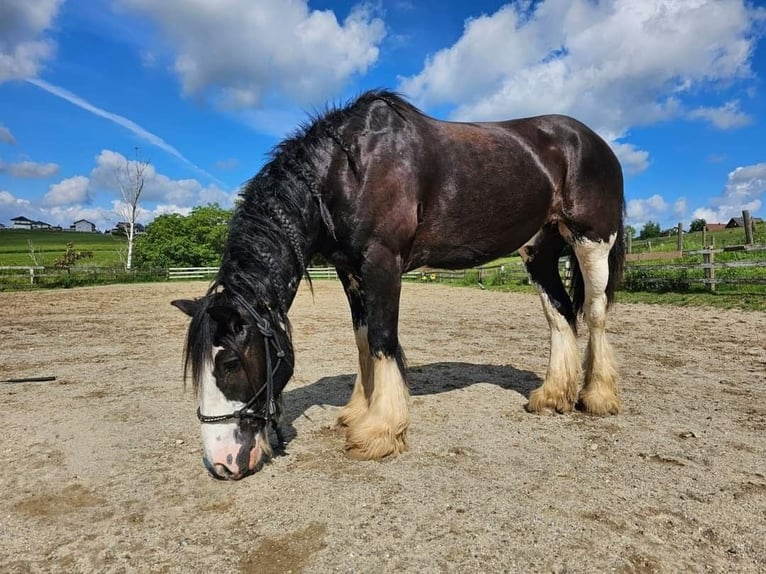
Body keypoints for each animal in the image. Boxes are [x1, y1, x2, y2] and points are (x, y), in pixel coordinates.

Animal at [171, 90, 628, 482]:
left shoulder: (382, 261)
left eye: (230, 363)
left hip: (590, 241)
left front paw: (380, 431)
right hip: (539, 252)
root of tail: (593, 141)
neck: (346, 170)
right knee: (560, 314)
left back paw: (598, 397)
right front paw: (358, 411)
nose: (221, 463)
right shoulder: (349, 270)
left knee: (595, 313)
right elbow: (362, 339)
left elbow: (382, 339)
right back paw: (552, 396)